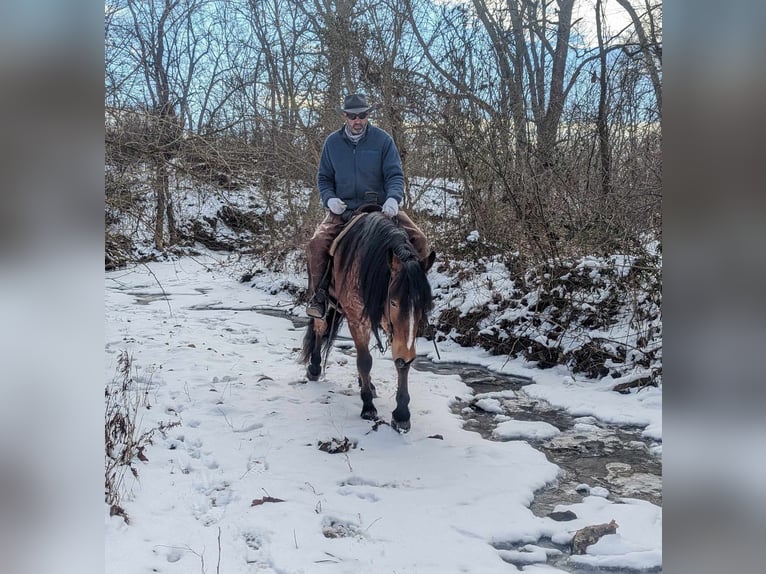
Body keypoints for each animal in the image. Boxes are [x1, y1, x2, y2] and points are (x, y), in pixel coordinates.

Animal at [304, 212, 440, 432]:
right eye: (393, 302)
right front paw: (368, 407)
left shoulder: (398, 332)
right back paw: (315, 368)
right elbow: (365, 361)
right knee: (320, 327)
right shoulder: (357, 320)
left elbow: (401, 363)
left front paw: (401, 415)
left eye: (423, 304)